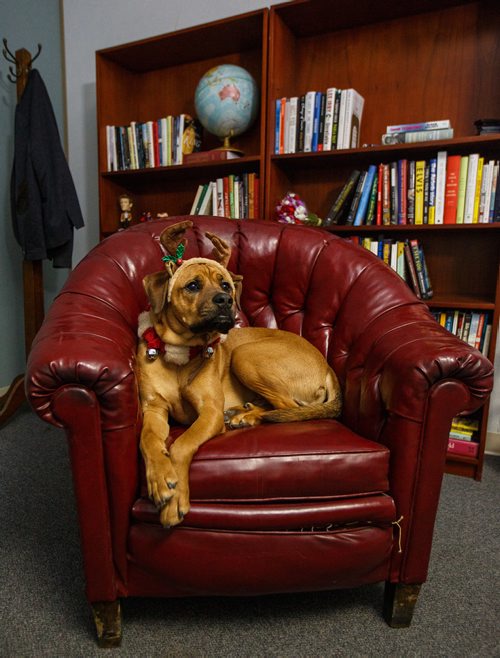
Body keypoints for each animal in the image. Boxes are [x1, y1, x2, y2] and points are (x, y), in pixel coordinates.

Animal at [137, 220, 342, 528]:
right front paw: (160, 478)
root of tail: (327, 365)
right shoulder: (153, 409)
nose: (226, 300)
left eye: (224, 284)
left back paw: (246, 417)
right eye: (193, 286)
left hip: (245, 355)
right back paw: (243, 412)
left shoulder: (209, 412)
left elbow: (182, 444)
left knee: (287, 407)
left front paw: (175, 501)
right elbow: (148, 440)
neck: (182, 353)